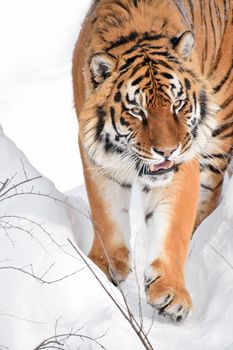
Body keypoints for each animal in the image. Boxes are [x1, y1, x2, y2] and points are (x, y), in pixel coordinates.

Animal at [72, 0, 233, 322]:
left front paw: (171, 293)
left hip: (220, 131)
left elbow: (173, 229)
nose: (167, 151)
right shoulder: (97, 158)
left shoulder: (182, 166)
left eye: (178, 104)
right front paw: (104, 267)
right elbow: (106, 216)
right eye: (137, 111)